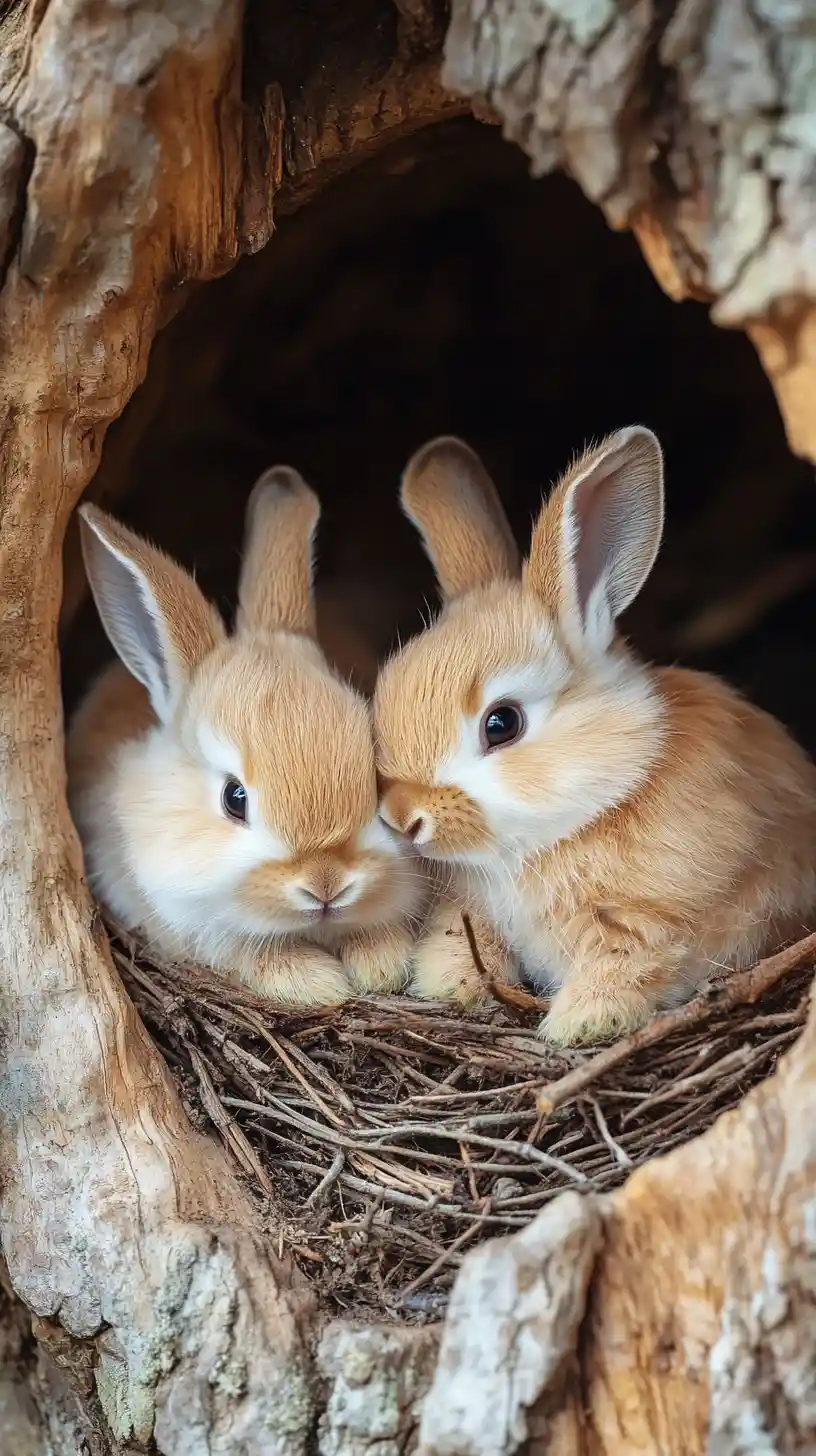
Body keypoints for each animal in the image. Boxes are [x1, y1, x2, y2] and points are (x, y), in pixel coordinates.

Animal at [67, 466, 430, 1007]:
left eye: (373, 771)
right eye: (233, 798)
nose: (326, 885)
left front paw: (378, 965)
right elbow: (256, 958)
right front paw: (323, 984)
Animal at [373, 428, 816, 1046]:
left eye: (501, 723)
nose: (403, 819)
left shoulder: (651, 923)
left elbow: (628, 967)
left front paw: (579, 1025)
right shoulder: (470, 911)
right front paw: (450, 986)